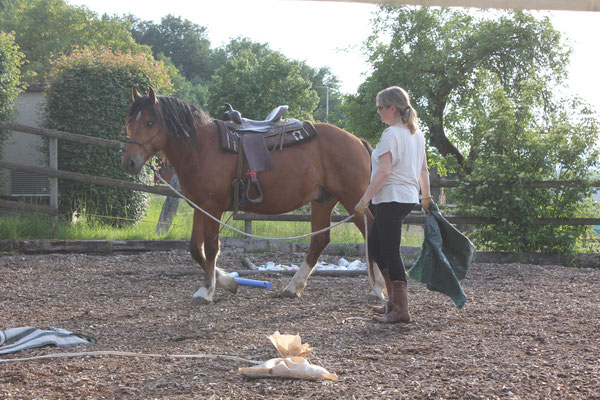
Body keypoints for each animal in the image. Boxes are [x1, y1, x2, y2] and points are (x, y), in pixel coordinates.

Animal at [122, 88, 384, 304]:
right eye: (129, 122)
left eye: (149, 122)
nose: (130, 162)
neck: (202, 148)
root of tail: (357, 140)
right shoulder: (200, 206)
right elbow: (196, 249)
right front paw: (228, 282)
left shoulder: (213, 207)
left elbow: (211, 247)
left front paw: (207, 290)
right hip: (323, 200)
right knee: (319, 241)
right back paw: (293, 287)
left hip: (353, 198)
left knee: (370, 228)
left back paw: (378, 287)